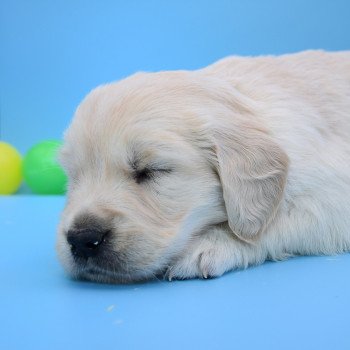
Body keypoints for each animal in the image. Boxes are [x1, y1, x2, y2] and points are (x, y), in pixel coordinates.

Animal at [56, 50, 350, 284]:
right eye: (74, 176)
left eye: (152, 171)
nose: (82, 238)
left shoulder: (332, 195)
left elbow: (272, 222)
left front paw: (207, 244)